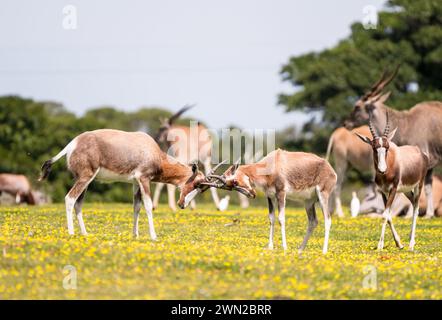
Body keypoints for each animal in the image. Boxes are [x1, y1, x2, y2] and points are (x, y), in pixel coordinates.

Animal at [38, 129, 219, 238]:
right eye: (197, 184)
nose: (182, 205)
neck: (151, 149)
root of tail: (71, 145)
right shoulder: (144, 179)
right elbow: (148, 206)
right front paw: (153, 236)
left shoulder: (135, 182)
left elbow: (136, 207)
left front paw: (135, 235)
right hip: (85, 177)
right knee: (70, 199)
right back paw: (71, 233)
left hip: (85, 180)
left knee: (78, 203)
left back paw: (85, 233)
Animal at [202, 149, 336, 254]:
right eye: (230, 188)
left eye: (234, 182)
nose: (252, 194)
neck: (273, 162)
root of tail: (330, 169)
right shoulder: (270, 196)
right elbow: (271, 218)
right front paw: (270, 247)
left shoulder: (281, 193)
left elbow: (281, 218)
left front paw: (284, 247)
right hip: (308, 202)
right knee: (313, 221)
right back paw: (300, 249)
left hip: (323, 195)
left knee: (328, 219)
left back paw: (324, 251)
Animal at [346, 66, 442, 219]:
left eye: (357, 106)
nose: (346, 123)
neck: (407, 123)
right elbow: (427, 187)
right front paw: (429, 213)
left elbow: (422, 188)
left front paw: (423, 214)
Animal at [356, 112, 428, 250]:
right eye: (374, 148)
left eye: (387, 147)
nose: (382, 170)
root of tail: (420, 152)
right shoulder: (383, 191)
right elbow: (388, 215)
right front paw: (399, 244)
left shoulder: (393, 189)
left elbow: (385, 215)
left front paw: (380, 245)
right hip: (406, 190)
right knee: (412, 204)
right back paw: (410, 241)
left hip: (419, 185)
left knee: (416, 208)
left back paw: (411, 244)